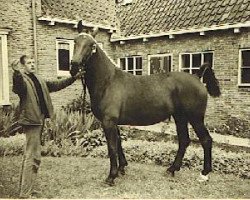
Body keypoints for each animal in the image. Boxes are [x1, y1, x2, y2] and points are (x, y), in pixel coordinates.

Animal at [70, 32, 221, 185]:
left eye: (91, 45)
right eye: (75, 41)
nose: (74, 65)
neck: (108, 82)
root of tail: (197, 76)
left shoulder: (108, 122)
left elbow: (112, 147)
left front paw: (111, 176)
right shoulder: (113, 123)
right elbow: (118, 143)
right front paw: (121, 168)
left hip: (195, 118)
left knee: (206, 140)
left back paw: (204, 174)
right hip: (180, 117)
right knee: (184, 140)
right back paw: (172, 169)